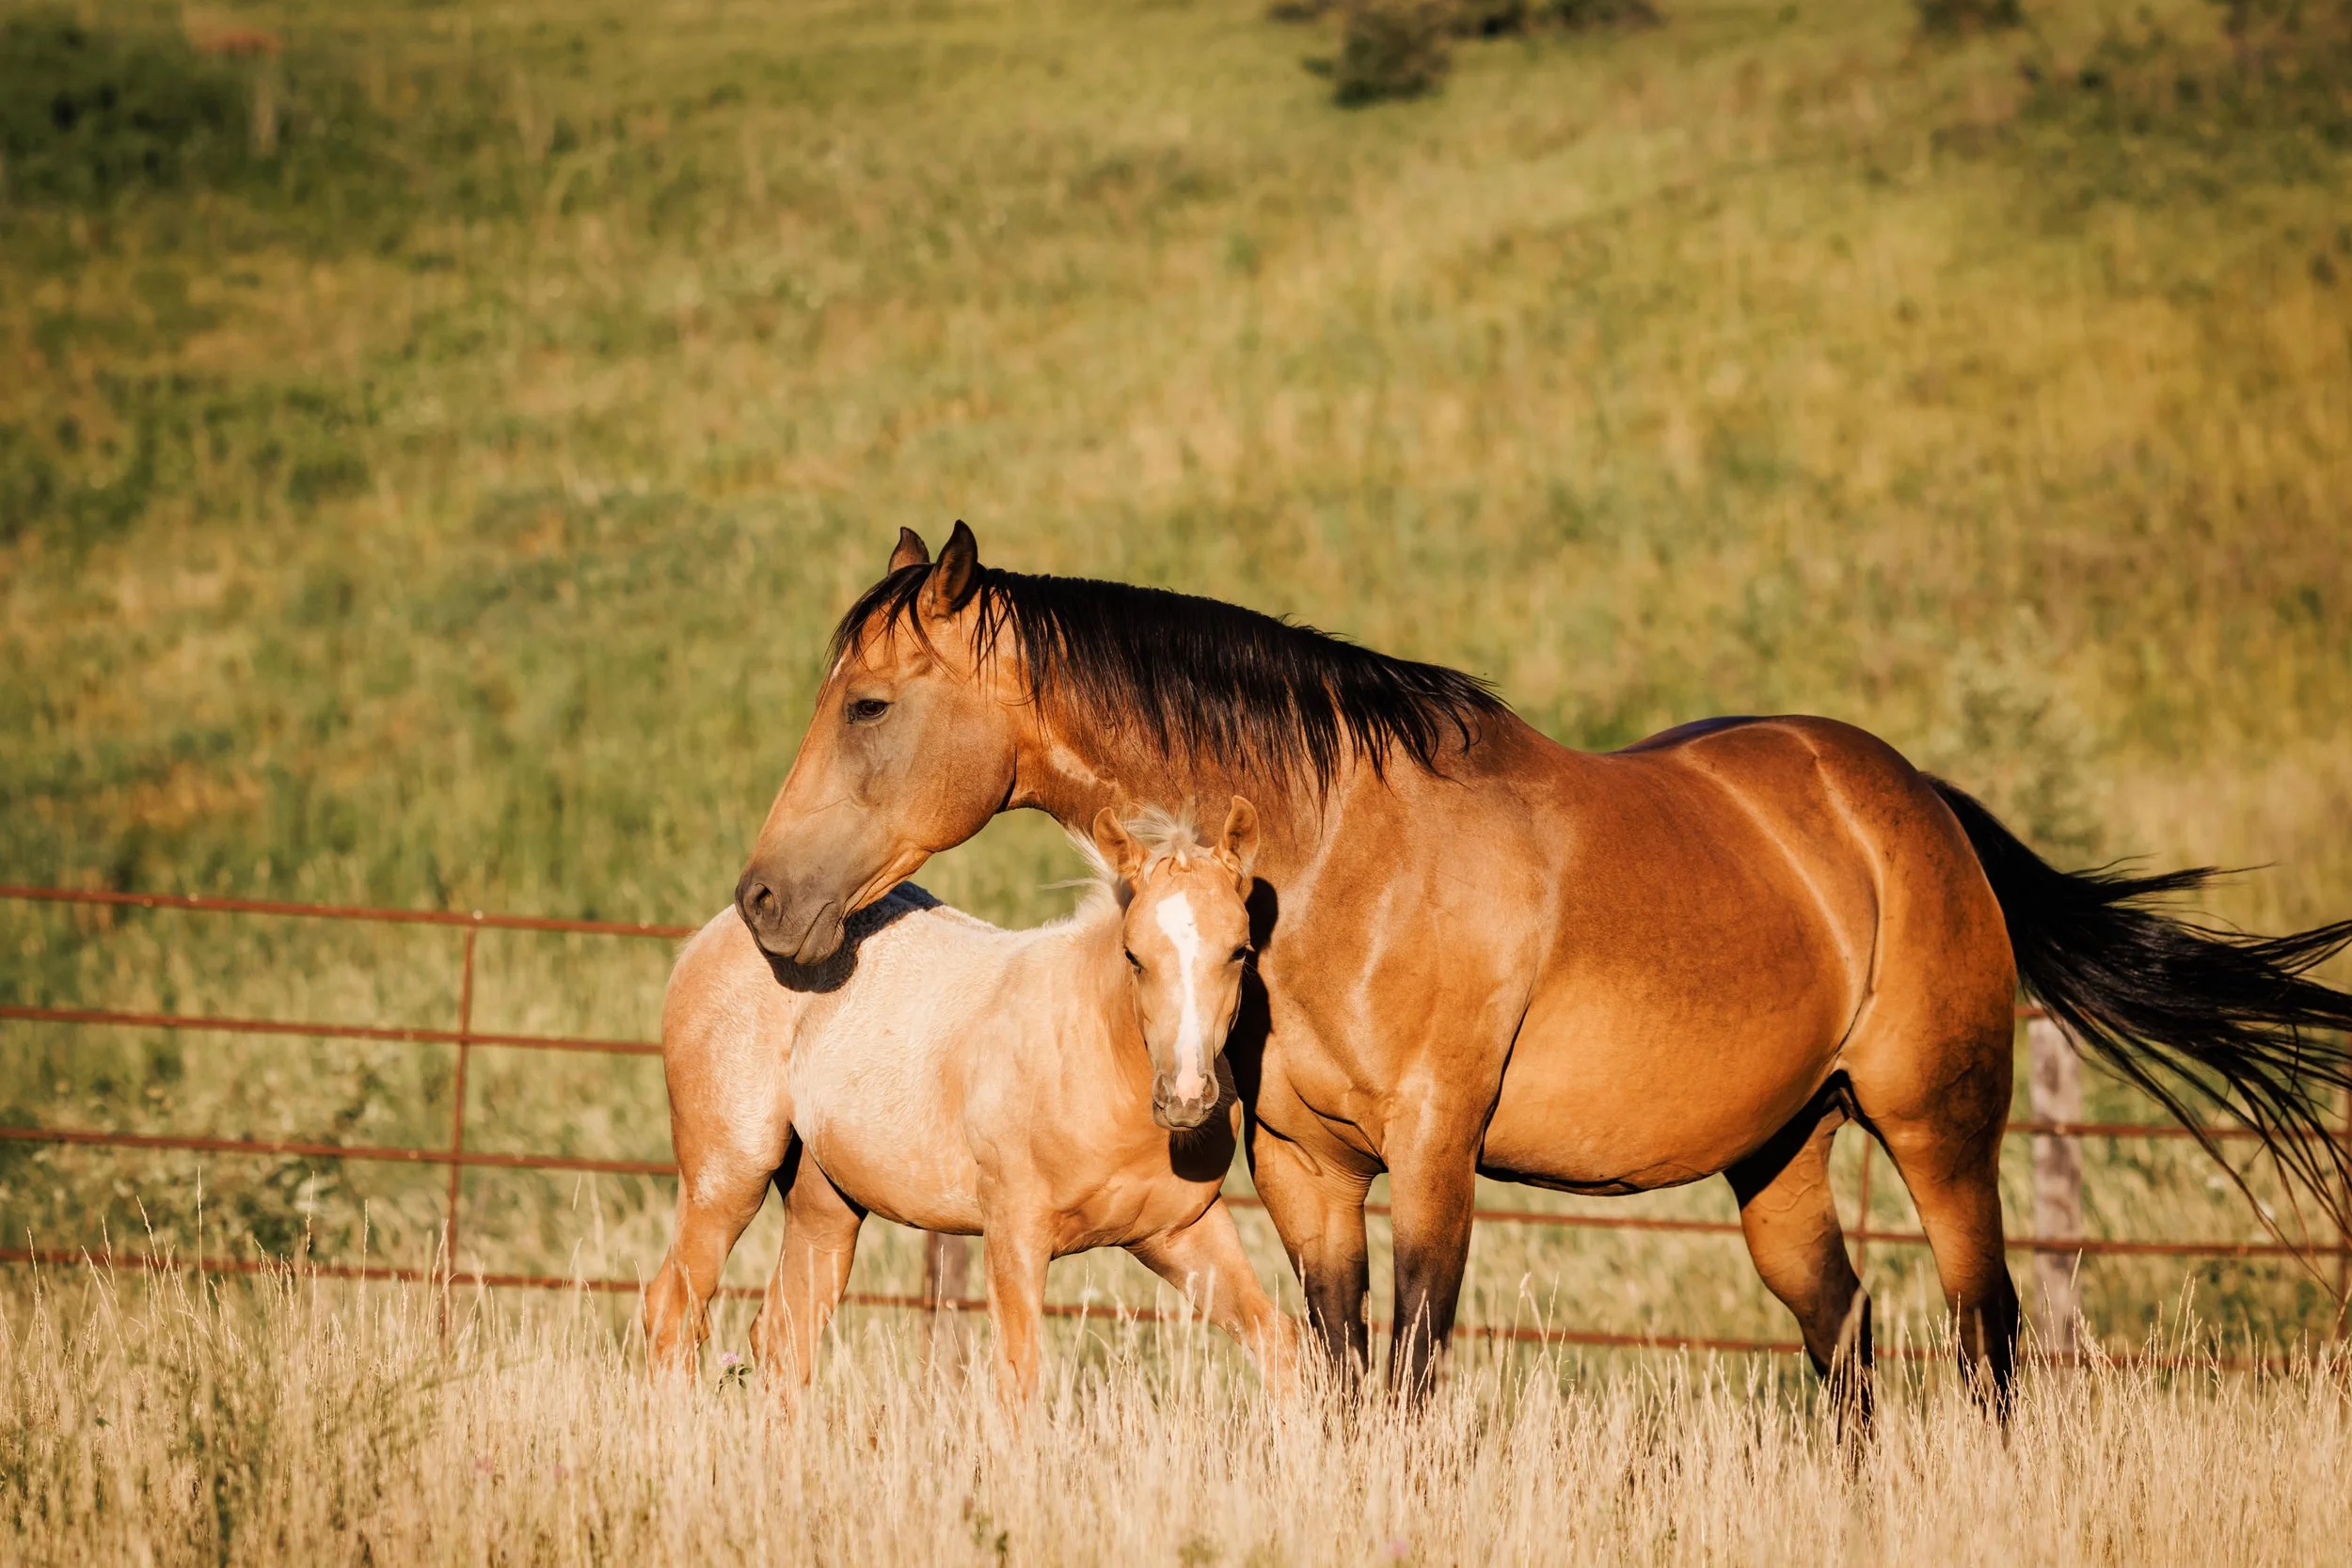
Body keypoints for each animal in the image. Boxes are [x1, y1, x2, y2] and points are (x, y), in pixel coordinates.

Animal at [644, 797, 1300, 1404]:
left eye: (1240, 951)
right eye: (1133, 955)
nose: (1185, 1097)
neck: (1097, 1059)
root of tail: (710, 936)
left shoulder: (1179, 1230)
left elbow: (1280, 1340)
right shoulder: (1014, 1231)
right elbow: (1018, 1375)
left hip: (825, 1203)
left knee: (784, 1332)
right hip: (726, 1176)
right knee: (673, 1309)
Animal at [731, 522, 2352, 1421]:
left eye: (869, 704)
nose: (762, 899)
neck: (1338, 849)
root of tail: (1915, 802)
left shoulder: (1438, 1146)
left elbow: (1412, 1362)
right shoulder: (1306, 1164)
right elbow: (1341, 1369)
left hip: (1942, 1128)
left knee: (1988, 1333)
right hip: (1781, 1153)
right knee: (1843, 1329)